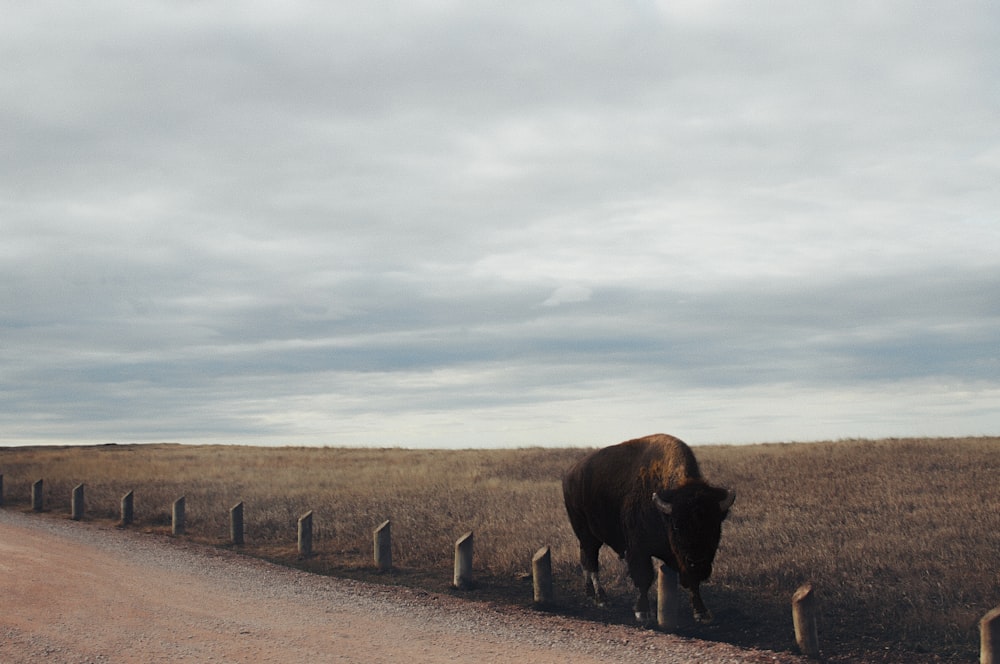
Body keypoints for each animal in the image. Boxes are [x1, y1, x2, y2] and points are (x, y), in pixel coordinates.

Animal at [564, 434, 736, 624]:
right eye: (677, 526)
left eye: (715, 526)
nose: (697, 562)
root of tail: (570, 473)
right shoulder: (639, 549)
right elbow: (644, 578)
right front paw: (642, 612)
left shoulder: (682, 559)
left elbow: (693, 582)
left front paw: (702, 612)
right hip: (587, 534)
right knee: (592, 562)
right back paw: (602, 599)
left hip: (586, 538)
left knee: (585, 560)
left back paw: (589, 593)